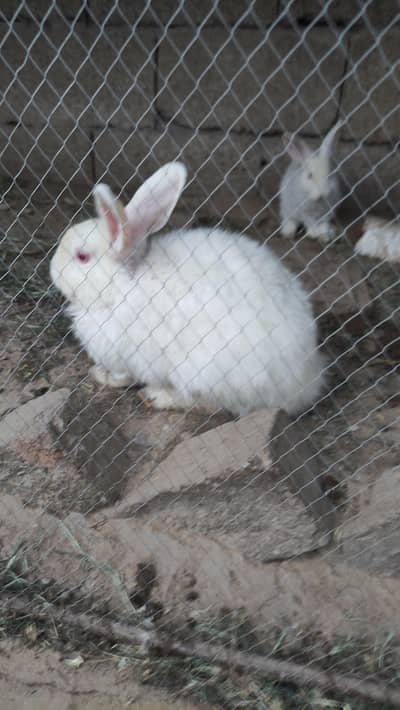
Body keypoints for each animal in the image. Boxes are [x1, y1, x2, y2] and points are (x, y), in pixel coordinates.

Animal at [50, 162, 326, 417]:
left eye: (82, 257)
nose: (53, 269)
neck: (121, 286)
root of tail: (305, 382)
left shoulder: (124, 356)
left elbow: (121, 376)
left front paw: (100, 375)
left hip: (207, 373)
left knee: (214, 405)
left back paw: (157, 396)